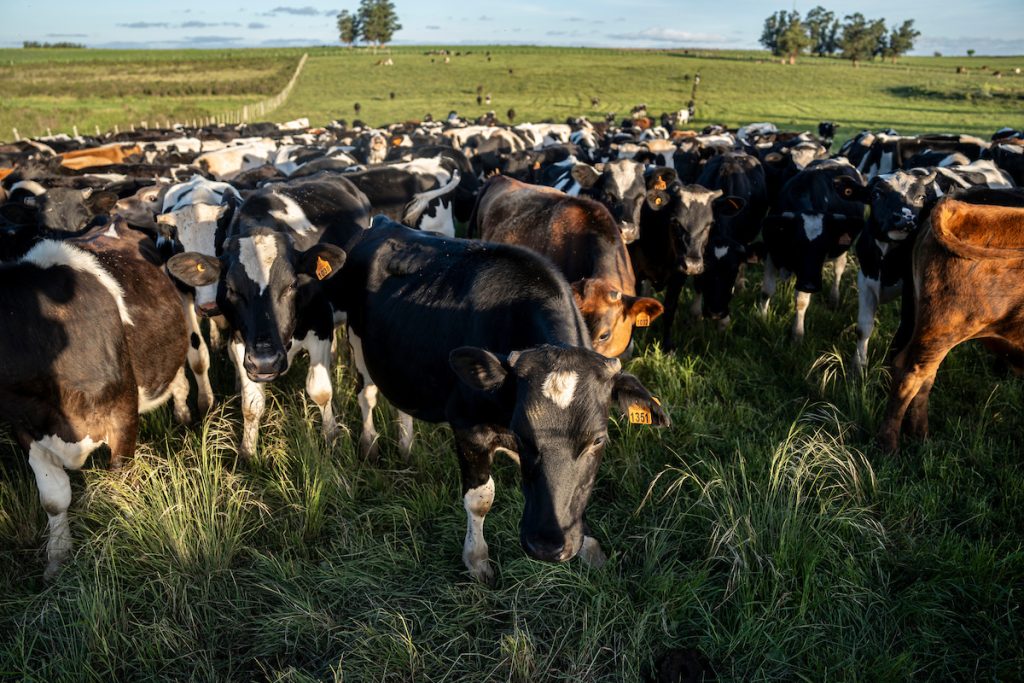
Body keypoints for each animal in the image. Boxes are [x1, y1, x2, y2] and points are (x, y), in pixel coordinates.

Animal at [167, 172, 372, 458]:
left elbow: (320, 391)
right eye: (231, 288)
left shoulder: (320, 325)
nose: (266, 362)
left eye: (291, 285)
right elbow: (252, 404)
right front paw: (247, 453)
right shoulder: (242, 343)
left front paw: (331, 438)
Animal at [329, 218, 671, 581]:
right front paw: (477, 560)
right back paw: (369, 447)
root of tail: (384, 222)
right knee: (367, 395)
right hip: (356, 341)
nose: (546, 546)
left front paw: (591, 549)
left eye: (597, 440)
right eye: (523, 434)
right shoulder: (468, 426)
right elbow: (480, 498)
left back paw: (406, 446)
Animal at [757, 159, 868, 342]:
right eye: (796, 244)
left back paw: (834, 299)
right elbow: (767, 290)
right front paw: (761, 318)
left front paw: (797, 334)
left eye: (823, 249)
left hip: (841, 251)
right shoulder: (772, 252)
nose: (810, 285)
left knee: (838, 270)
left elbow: (801, 301)